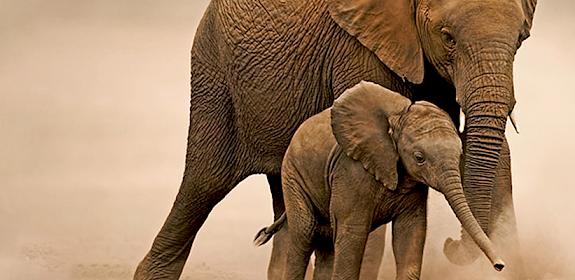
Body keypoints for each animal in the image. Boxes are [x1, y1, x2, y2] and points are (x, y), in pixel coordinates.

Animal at [255, 80, 504, 278]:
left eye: (460, 154)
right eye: (419, 158)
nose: (500, 265)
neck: (396, 121)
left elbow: (410, 233)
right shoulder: (352, 172)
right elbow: (352, 236)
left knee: (325, 243)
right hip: (292, 175)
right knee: (305, 234)